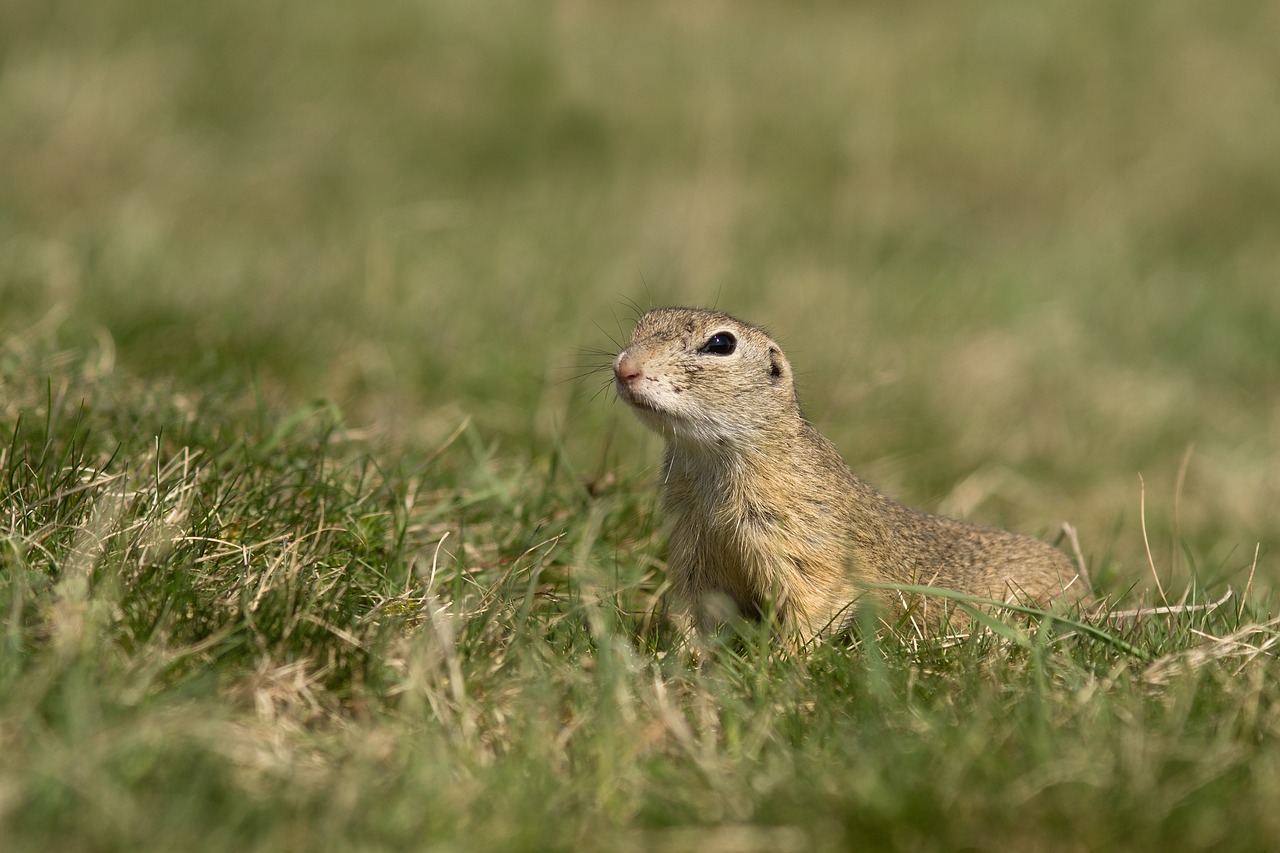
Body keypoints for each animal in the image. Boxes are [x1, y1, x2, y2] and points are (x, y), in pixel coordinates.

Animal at [609, 307, 1090, 637]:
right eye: (643, 323)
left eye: (721, 344)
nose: (624, 367)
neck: (710, 462)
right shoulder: (693, 545)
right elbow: (696, 611)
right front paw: (682, 660)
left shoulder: (804, 543)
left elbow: (814, 605)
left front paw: (781, 666)